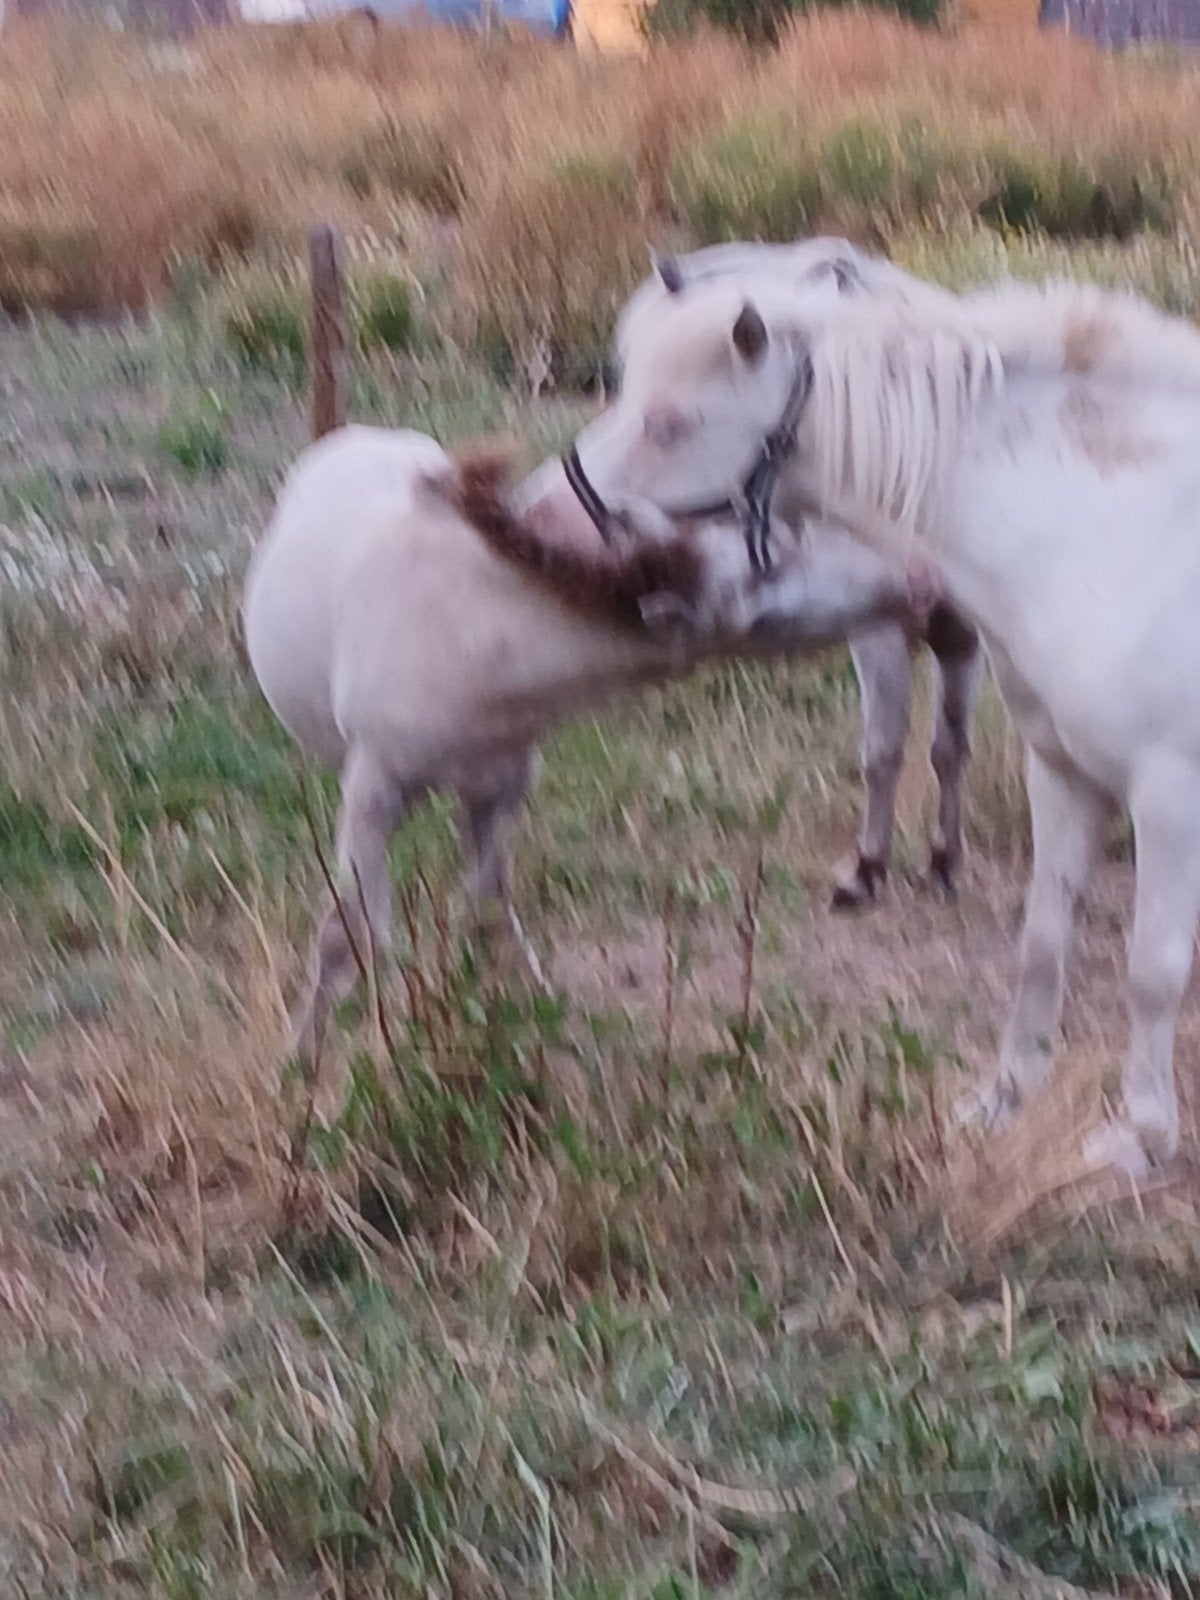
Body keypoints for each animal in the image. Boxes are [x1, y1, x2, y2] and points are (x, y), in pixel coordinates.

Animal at [243, 425, 911, 1062]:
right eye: (770, 577)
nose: (908, 584)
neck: (473, 635)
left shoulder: (500, 789)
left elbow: (488, 915)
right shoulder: (372, 790)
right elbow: (350, 936)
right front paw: (301, 1066)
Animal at [564, 266, 1200, 1177]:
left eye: (669, 423)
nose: (549, 517)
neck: (1109, 532)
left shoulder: (1170, 797)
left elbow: (1152, 967)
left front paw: (1142, 1137)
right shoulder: (1063, 773)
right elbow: (1043, 942)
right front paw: (1005, 1098)